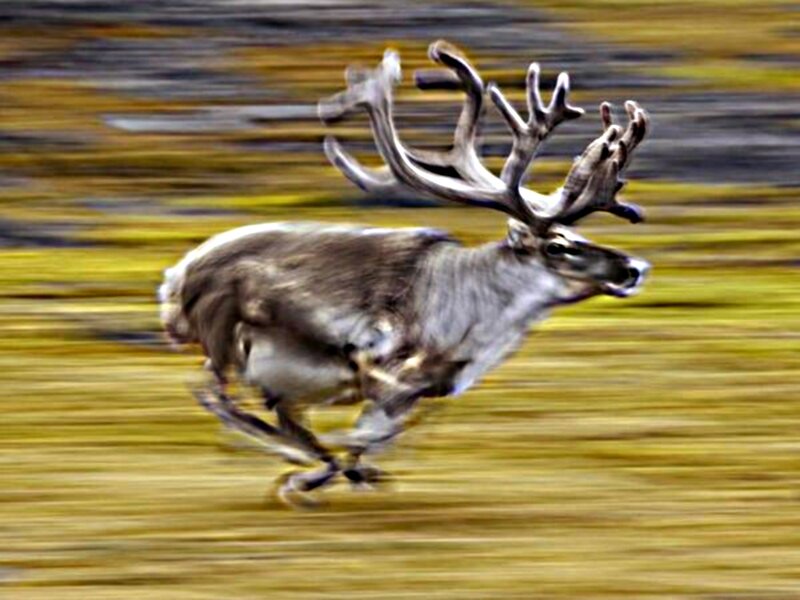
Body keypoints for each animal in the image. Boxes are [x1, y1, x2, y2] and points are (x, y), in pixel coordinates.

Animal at [159, 40, 651, 507]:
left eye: (575, 233)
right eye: (556, 245)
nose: (633, 267)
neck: (468, 327)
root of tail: (174, 280)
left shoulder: (429, 387)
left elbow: (397, 429)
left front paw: (352, 472)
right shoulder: (376, 360)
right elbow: (372, 429)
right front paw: (320, 473)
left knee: (262, 406)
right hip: (225, 340)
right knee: (215, 395)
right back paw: (302, 462)